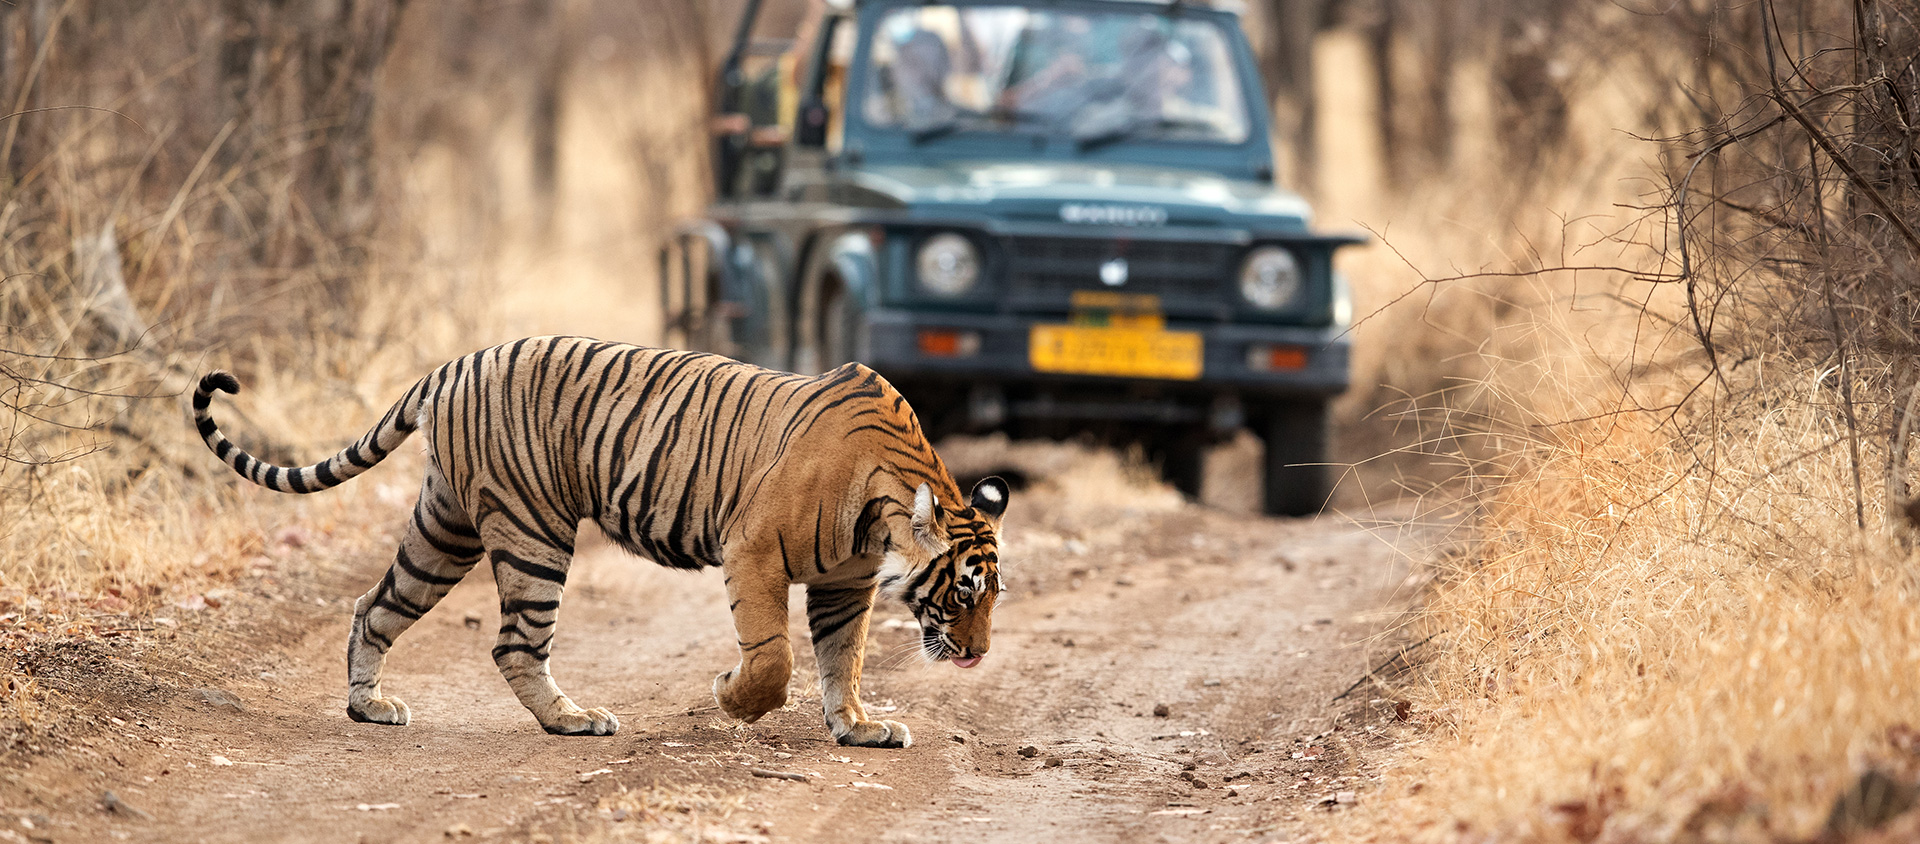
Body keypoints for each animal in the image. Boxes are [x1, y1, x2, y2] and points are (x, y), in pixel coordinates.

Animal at [190, 335, 1009, 747]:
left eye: (993, 595)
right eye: (963, 590)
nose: (978, 655)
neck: (885, 508)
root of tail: (453, 364)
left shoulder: (846, 581)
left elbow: (845, 658)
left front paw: (859, 727)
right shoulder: (753, 549)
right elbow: (774, 657)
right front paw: (732, 696)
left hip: (446, 527)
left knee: (374, 605)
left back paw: (370, 707)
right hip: (533, 530)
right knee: (515, 643)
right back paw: (573, 720)